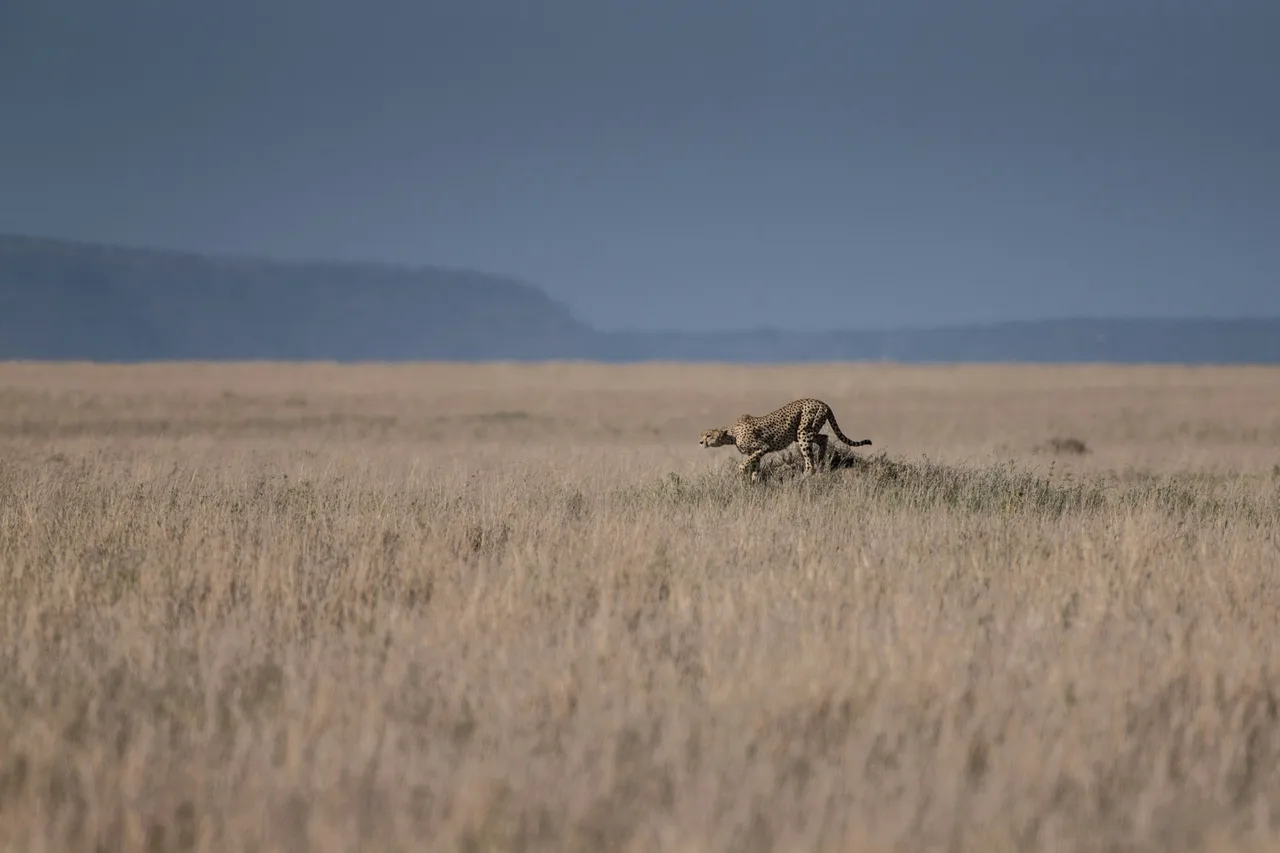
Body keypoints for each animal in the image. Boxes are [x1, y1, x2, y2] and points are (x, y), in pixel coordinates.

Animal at [699, 398, 873, 480]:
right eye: (701, 434)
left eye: (708, 435)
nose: (700, 442)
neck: (732, 433)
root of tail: (822, 402)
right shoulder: (756, 452)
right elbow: (755, 468)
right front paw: (753, 483)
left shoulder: (763, 447)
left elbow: (744, 464)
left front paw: (743, 474)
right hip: (804, 432)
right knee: (824, 437)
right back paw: (822, 460)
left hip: (803, 433)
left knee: (810, 460)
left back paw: (805, 474)